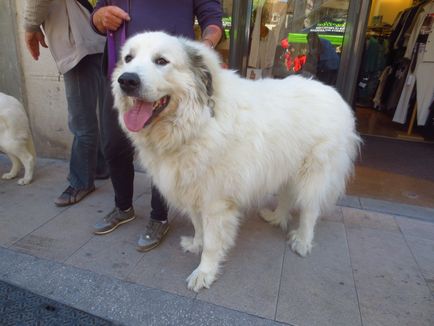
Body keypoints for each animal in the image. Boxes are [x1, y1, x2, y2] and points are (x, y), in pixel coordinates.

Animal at [112, 31, 362, 292]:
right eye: (128, 58)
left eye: (161, 61)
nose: (126, 80)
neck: (196, 124)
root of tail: (332, 92)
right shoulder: (192, 191)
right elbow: (198, 226)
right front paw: (196, 244)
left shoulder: (215, 202)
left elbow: (212, 242)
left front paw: (204, 272)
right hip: (285, 166)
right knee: (286, 195)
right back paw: (276, 218)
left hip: (313, 173)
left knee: (310, 209)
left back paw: (302, 241)